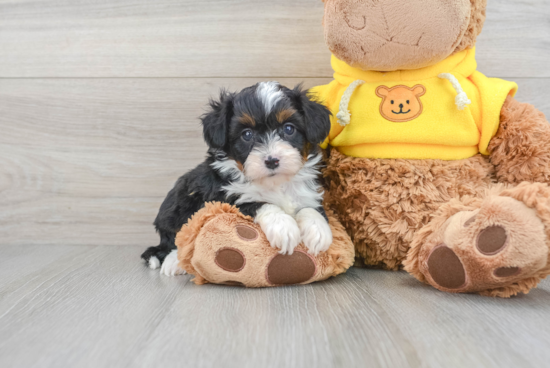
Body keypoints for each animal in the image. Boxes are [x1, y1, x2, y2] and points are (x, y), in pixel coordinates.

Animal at [141, 81, 332, 276]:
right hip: (179, 201)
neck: (274, 183)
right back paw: (174, 262)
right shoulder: (221, 200)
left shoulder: (308, 193)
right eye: (246, 134)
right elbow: (259, 203)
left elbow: (310, 208)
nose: (272, 160)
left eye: (289, 129)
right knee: (172, 240)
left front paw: (318, 230)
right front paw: (283, 226)